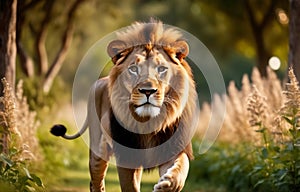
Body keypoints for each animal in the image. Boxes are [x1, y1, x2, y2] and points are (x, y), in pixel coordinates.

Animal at [50, 19, 198, 192]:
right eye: (133, 69)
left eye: (162, 69)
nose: (148, 91)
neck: (148, 121)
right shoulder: (127, 157)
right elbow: (129, 187)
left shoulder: (173, 147)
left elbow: (180, 169)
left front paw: (167, 184)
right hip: (97, 151)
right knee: (96, 180)